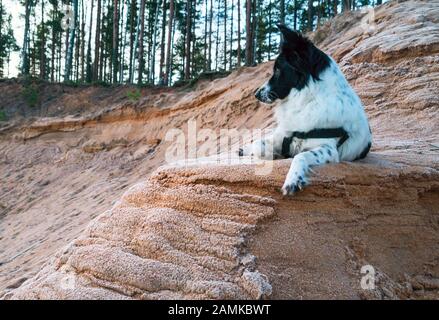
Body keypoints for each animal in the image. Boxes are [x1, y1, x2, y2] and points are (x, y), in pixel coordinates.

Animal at [241, 24, 372, 195]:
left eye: (277, 70)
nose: (256, 94)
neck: (309, 99)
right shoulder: (283, 135)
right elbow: (258, 144)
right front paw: (271, 154)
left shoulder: (329, 149)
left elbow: (300, 156)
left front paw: (293, 179)